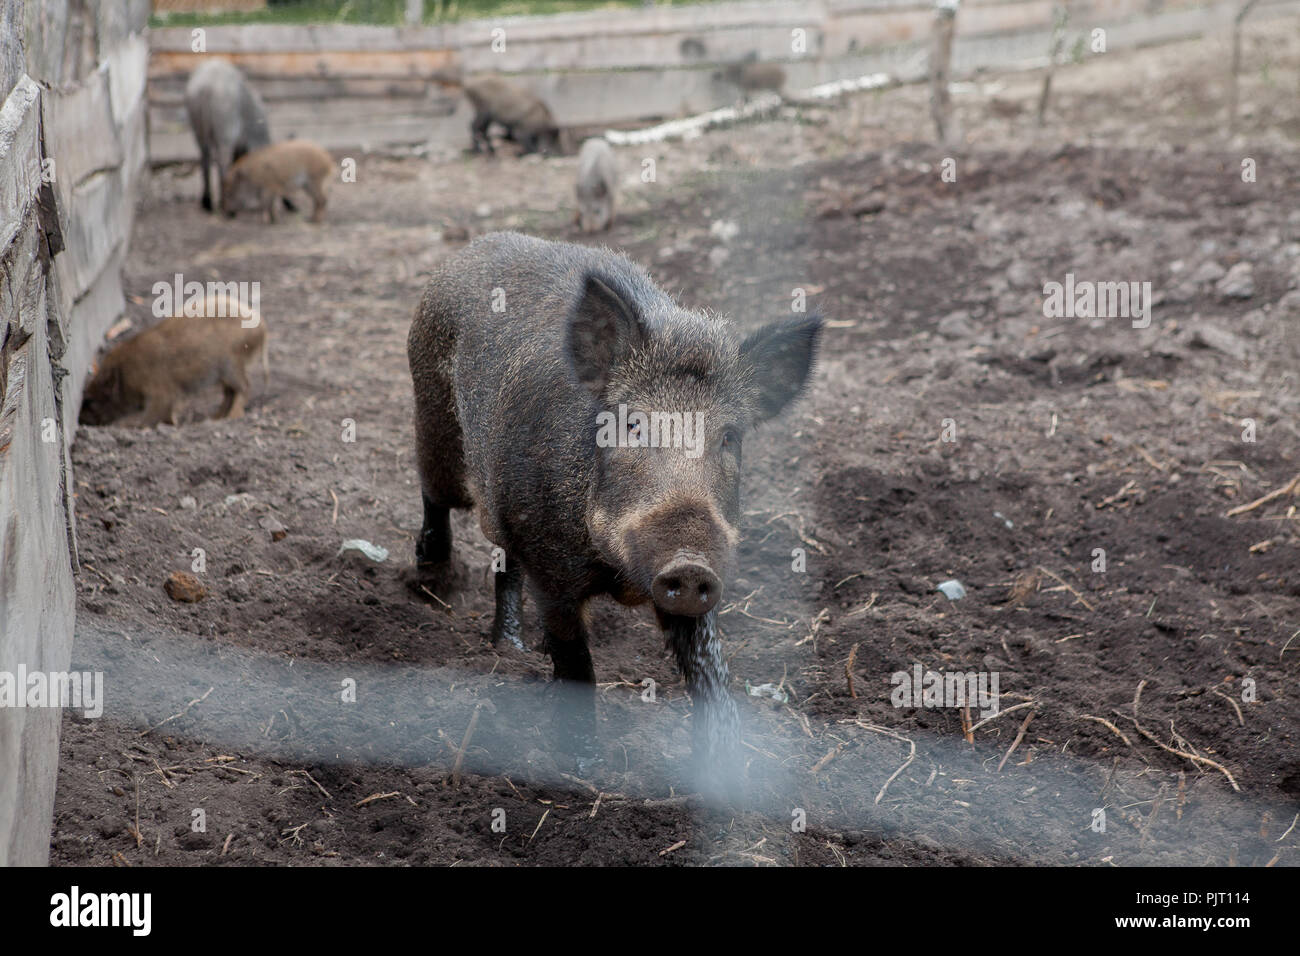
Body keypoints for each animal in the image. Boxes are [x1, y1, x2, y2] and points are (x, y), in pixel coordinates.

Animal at [79, 294, 267, 428]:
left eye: (92, 401)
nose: (81, 419)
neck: (125, 373)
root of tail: (262, 326)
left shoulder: (161, 391)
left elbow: (154, 414)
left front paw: (135, 427)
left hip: (232, 366)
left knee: (244, 387)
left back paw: (232, 416)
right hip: (225, 374)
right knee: (229, 392)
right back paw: (215, 417)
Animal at [185, 59, 273, 213]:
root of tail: (206, 87)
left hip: (197, 125)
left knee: (205, 158)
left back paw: (207, 203)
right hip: (225, 127)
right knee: (223, 163)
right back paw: (226, 208)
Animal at [407, 232, 821, 791]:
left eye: (730, 437)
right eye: (633, 426)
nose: (689, 563)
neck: (620, 575)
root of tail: (472, 249)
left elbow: (710, 673)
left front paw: (726, 777)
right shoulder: (553, 570)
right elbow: (576, 663)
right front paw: (583, 767)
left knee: (504, 559)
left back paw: (514, 650)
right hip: (436, 423)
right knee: (436, 496)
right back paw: (432, 581)